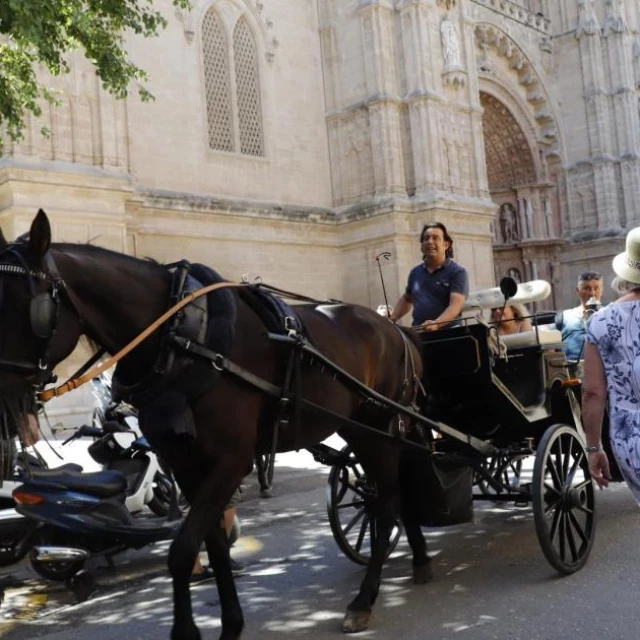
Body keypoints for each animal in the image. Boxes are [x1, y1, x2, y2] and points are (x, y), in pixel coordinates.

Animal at [0, 211, 436, 640]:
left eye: (26, 305)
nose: (6, 407)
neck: (182, 335)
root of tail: (397, 329)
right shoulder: (186, 463)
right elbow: (213, 545)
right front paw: (231, 622)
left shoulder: (231, 461)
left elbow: (182, 551)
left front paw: (187, 631)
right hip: (359, 427)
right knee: (394, 492)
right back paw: (418, 558)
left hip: (380, 425)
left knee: (387, 502)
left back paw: (364, 599)